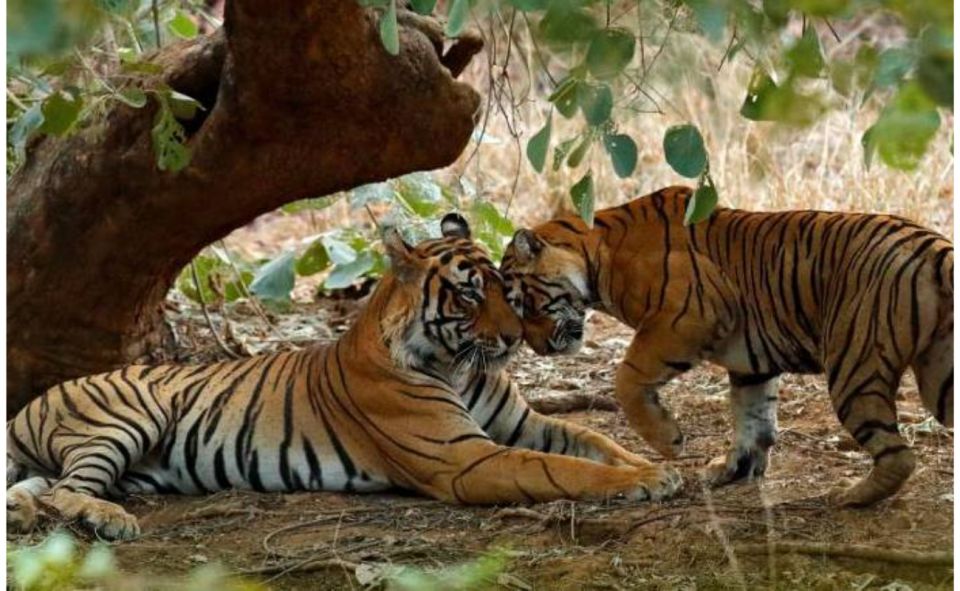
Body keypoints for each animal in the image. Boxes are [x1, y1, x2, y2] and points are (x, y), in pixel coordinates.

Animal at [7, 213, 681, 541]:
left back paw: (29, 512)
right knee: (69, 489)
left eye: (504, 287)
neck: (459, 365)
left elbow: (594, 439)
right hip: (124, 419)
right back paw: (108, 519)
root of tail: (27, 406)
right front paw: (644, 481)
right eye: (469, 295)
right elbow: (562, 468)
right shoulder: (466, 458)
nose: (516, 339)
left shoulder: (524, 423)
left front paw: (659, 465)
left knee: (45, 485)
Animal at [500, 186, 953, 507]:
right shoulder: (752, 360)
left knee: (899, 455)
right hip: (939, 371)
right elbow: (752, 418)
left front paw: (669, 441)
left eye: (525, 304)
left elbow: (627, 378)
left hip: (853, 364)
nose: (539, 348)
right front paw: (733, 469)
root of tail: (934, 245)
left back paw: (850, 497)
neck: (598, 253)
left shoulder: (686, 316)